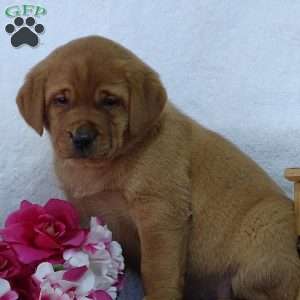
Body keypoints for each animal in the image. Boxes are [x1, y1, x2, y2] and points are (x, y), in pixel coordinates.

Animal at [16, 35, 300, 300]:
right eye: (61, 100)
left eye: (110, 101)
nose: (82, 138)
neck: (101, 167)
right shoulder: (85, 211)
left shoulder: (160, 213)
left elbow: (157, 268)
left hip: (263, 238)